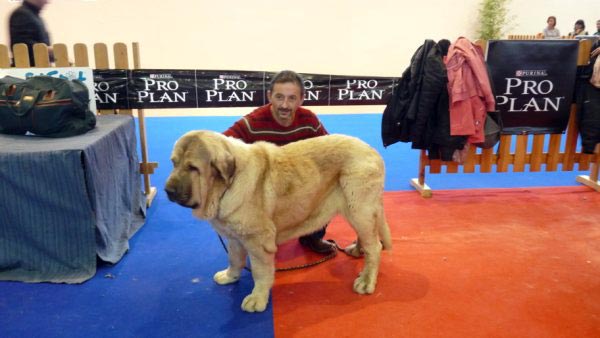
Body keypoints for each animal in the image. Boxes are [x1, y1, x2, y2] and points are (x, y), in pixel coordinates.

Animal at [164, 131, 392, 312]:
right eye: (174, 163)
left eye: (192, 167)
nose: (168, 191)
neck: (226, 186)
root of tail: (373, 151)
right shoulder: (236, 238)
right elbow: (235, 259)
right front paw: (230, 276)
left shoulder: (257, 242)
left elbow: (260, 272)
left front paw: (257, 299)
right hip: (358, 212)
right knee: (368, 239)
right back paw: (357, 251)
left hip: (359, 208)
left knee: (375, 247)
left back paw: (366, 281)